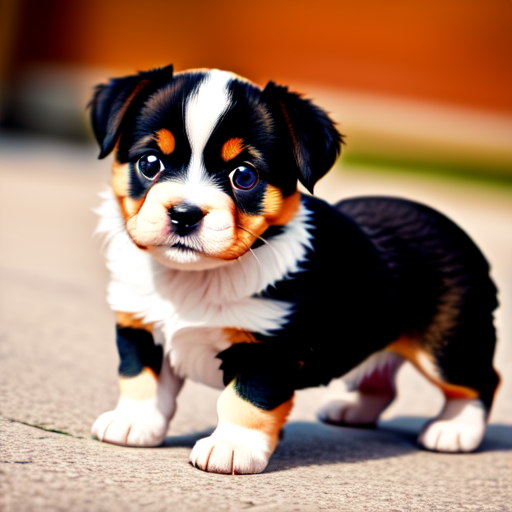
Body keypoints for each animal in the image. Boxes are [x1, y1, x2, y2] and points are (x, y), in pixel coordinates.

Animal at [89, 65, 500, 476]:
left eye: (244, 175)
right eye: (150, 163)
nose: (184, 214)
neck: (194, 279)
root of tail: (450, 226)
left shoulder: (269, 347)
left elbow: (246, 400)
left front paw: (232, 446)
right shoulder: (139, 325)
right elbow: (141, 379)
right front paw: (135, 422)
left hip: (448, 345)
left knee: (482, 381)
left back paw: (455, 429)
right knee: (383, 379)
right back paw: (354, 410)